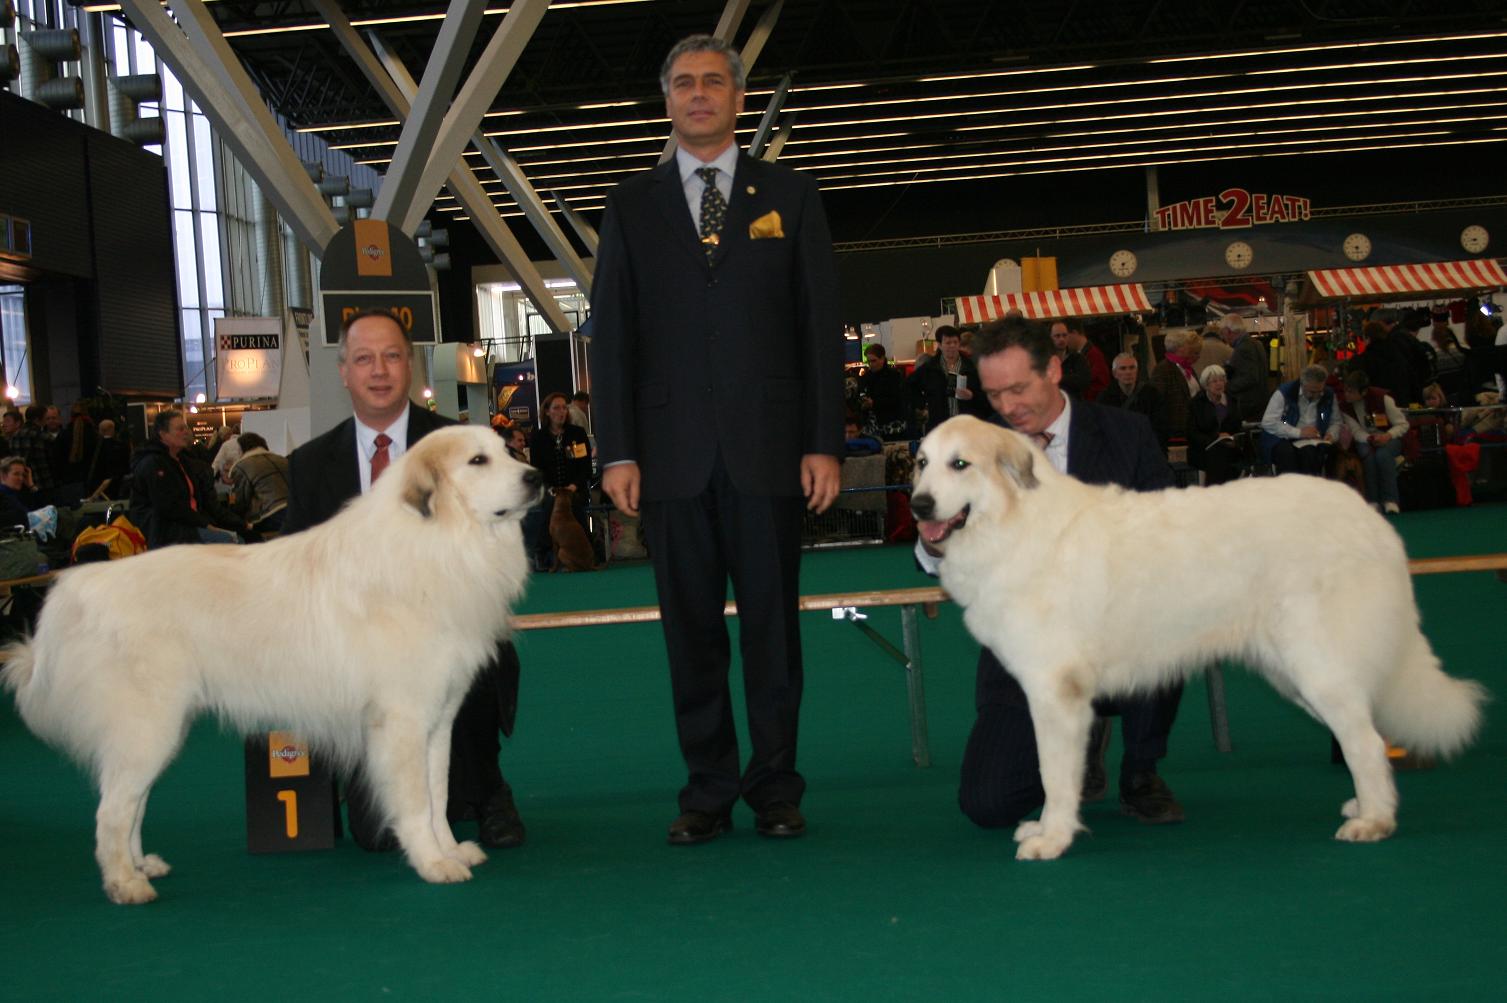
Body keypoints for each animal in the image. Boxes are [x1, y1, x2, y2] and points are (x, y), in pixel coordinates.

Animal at [0, 421, 542, 897]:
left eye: (506, 450)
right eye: (478, 461)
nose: (535, 477)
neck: (440, 544)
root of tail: (81, 585)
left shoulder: (440, 719)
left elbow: (439, 793)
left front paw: (450, 849)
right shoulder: (403, 721)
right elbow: (414, 802)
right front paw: (432, 863)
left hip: (157, 733)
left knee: (130, 804)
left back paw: (141, 866)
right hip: (146, 729)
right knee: (112, 810)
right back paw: (125, 885)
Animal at [910, 412, 1488, 861]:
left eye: (960, 465)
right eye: (921, 463)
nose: (918, 505)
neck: (1013, 524)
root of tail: (1370, 519)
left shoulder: (1055, 693)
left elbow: (1053, 774)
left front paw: (1052, 839)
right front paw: (1050, 828)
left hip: (1316, 665)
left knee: (1365, 741)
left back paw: (1373, 821)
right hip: (1296, 675)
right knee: (1360, 735)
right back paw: (1366, 805)